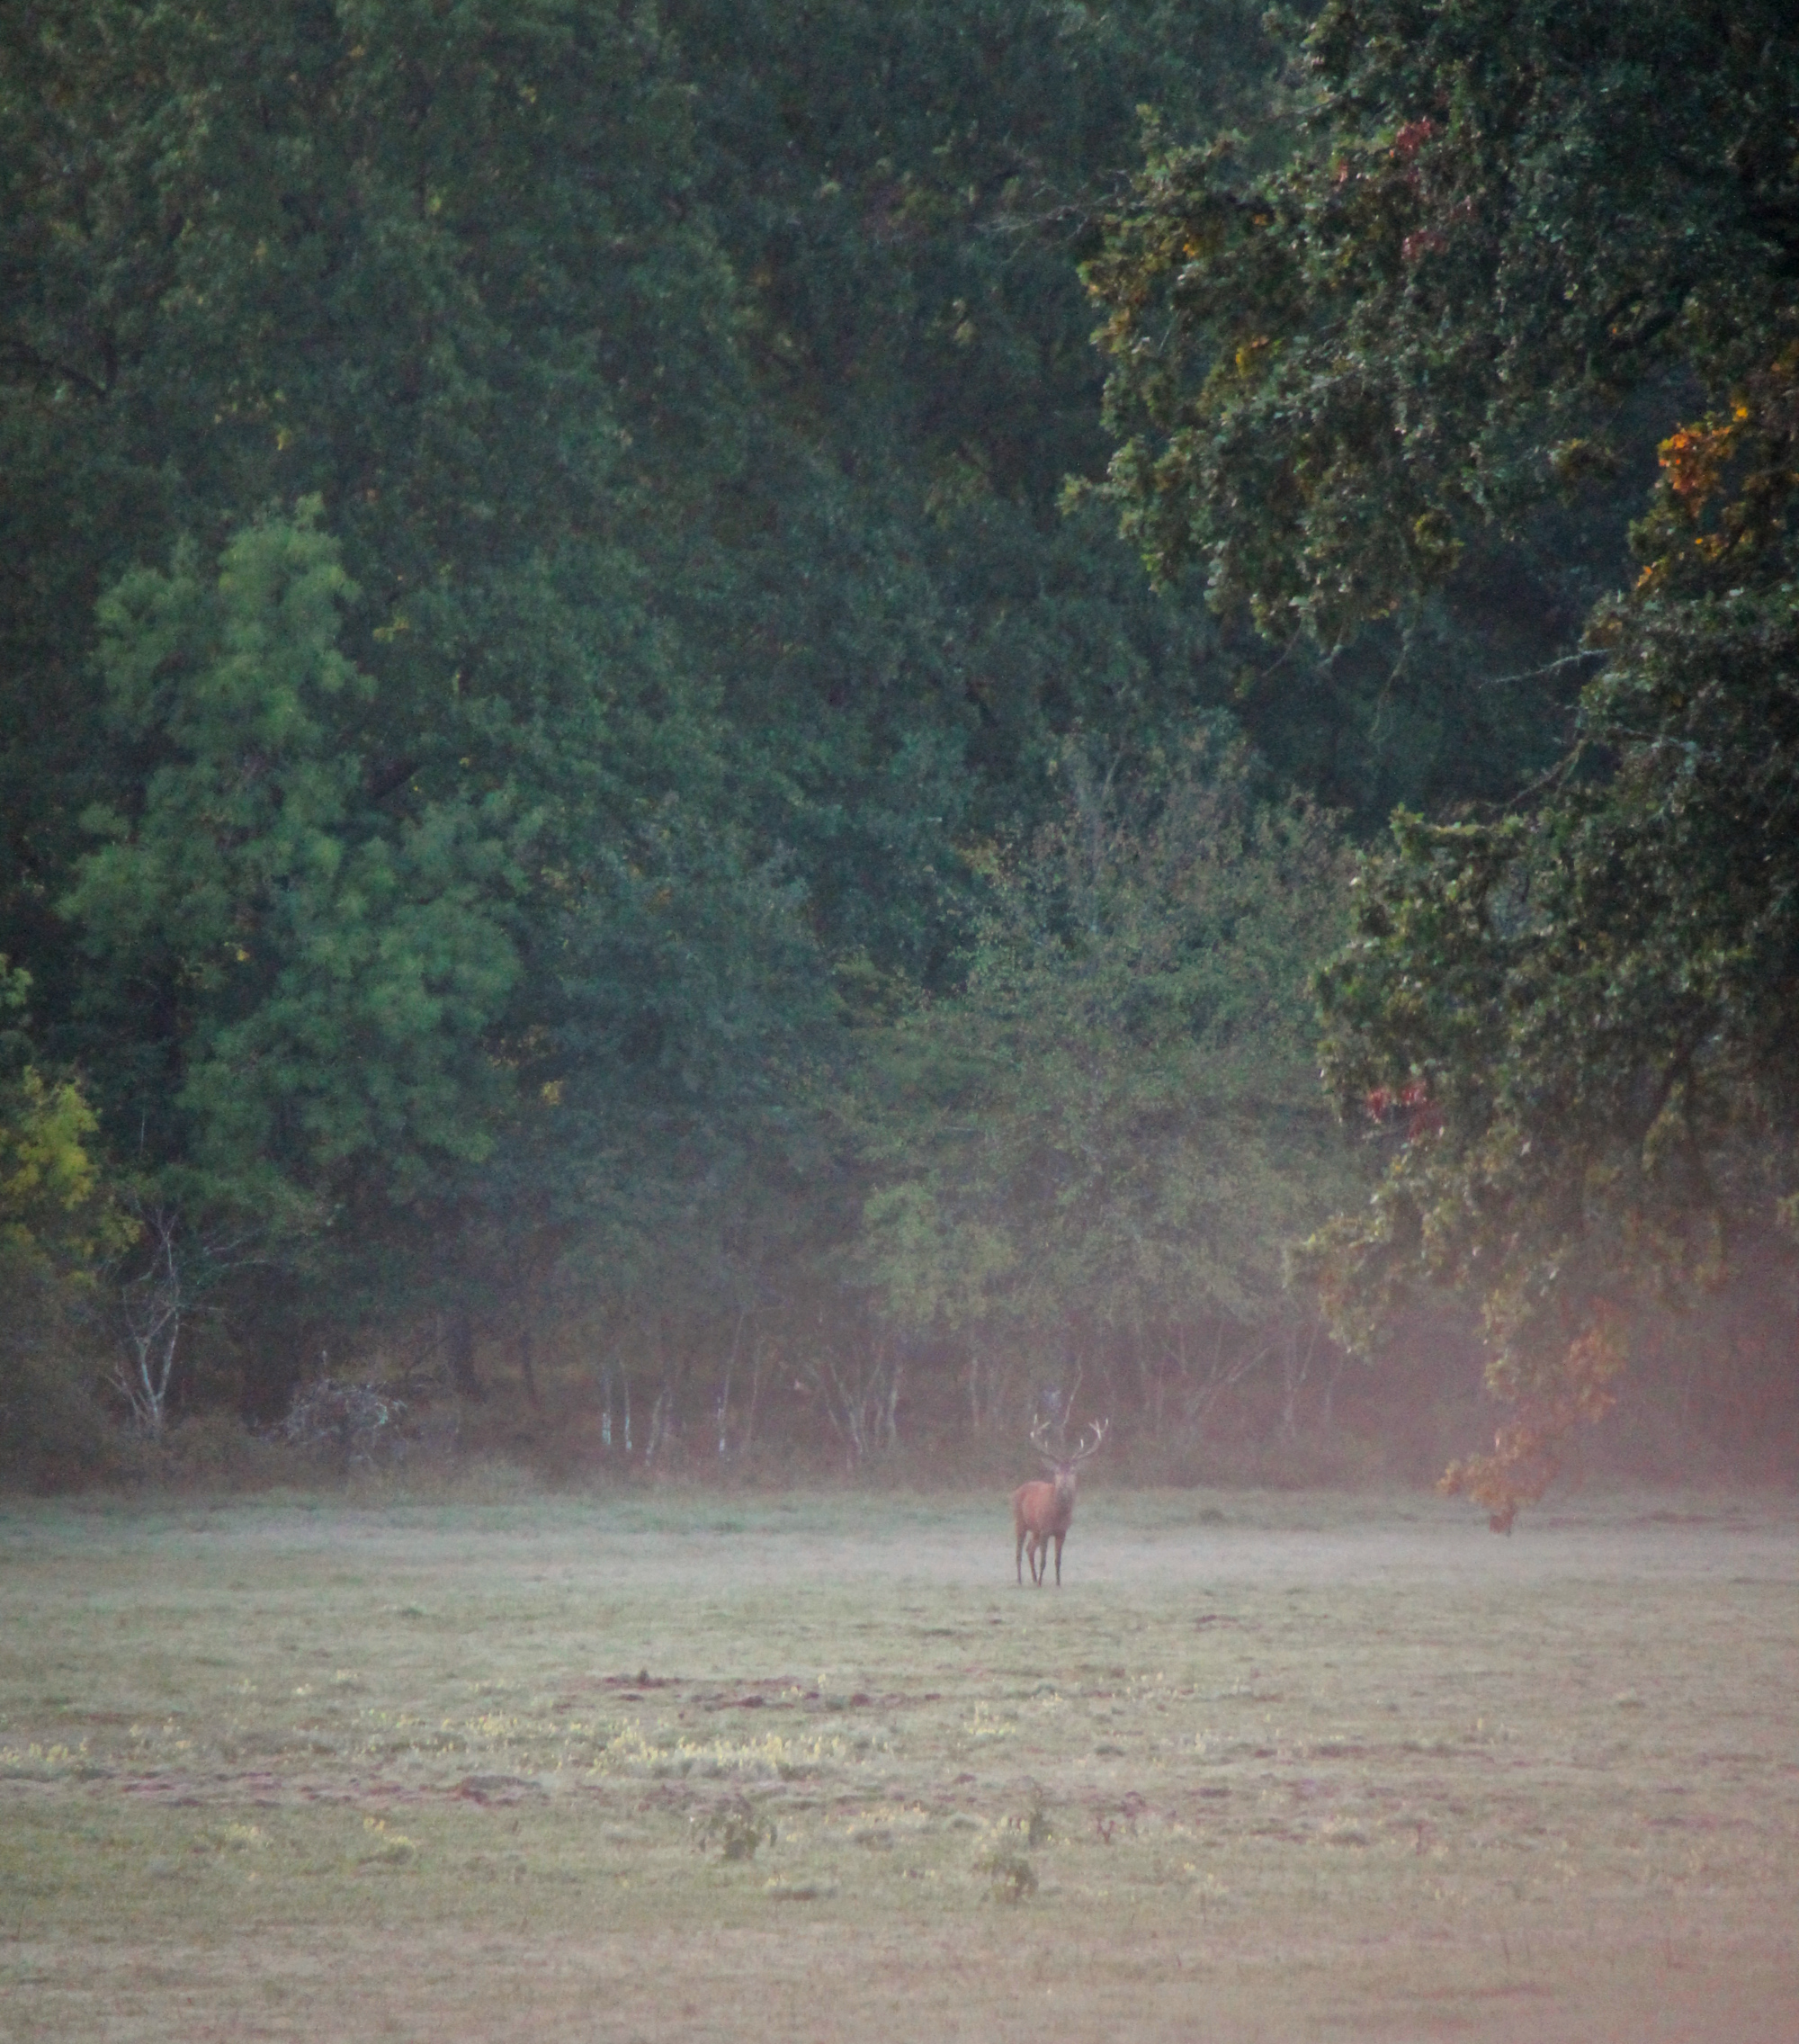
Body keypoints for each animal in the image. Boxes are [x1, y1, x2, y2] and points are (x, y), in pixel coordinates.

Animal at [1012, 1417, 1107, 1585]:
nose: (1063, 1486)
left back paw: (1034, 1578)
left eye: (1073, 1471)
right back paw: (1020, 1580)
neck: (1058, 1514)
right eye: (1057, 1471)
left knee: (1029, 1549)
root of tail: (1017, 1490)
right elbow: (1043, 1560)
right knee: (1019, 1552)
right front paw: (1041, 1583)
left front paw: (1057, 1583)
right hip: (1020, 1521)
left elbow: (1058, 1560)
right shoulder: (1045, 1529)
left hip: (1035, 1529)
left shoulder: (1062, 1532)